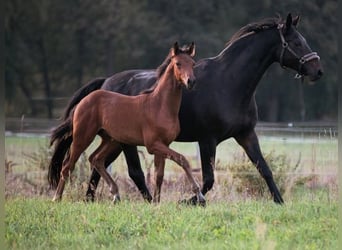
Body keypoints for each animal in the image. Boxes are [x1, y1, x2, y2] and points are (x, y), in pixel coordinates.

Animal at [48, 42, 204, 203]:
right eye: (178, 63)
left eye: (193, 64)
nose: (191, 82)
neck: (159, 105)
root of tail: (84, 101)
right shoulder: (153, 145)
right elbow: (182, 159)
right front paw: (199, 193)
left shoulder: (163, 145)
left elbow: (159, 176)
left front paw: (156, 202)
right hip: (83, 137)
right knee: (67, 166)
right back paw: (56, 198)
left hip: (110, 140)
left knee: (95, 159)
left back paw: (115, 193)